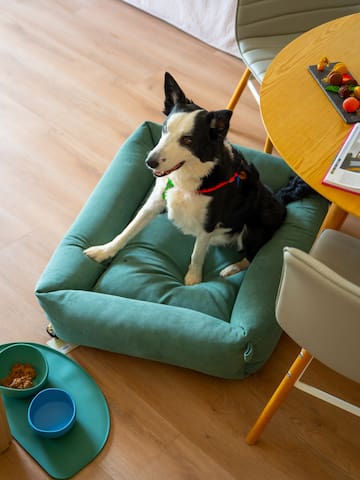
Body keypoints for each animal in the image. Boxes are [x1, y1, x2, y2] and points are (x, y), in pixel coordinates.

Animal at [84, 72, 310, 284]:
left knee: (251, 256)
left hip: (254, 227)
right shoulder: (154, 203)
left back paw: (231, 268)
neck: (188, 177)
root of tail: (281, 201)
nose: (150, 162)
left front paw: (192, 280)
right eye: (165, 128)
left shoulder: (207, 225)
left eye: (187, 140)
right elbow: (127, 230)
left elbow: (196, 255)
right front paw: (105, 250)